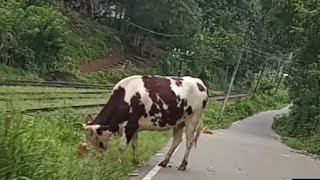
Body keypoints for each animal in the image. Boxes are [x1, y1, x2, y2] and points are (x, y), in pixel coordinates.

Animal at [81, 74, 209, 170]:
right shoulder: (134, 127)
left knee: (189, 141)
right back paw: (164, 161)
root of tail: (198, 82)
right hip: (178, 122)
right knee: (177, 140)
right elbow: (134, 145)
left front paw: (119, 163)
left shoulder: (129, 126)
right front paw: (135, 161)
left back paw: (183, 165)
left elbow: (122, 146)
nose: (94, 158)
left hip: (192, 119)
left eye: (92, 137)